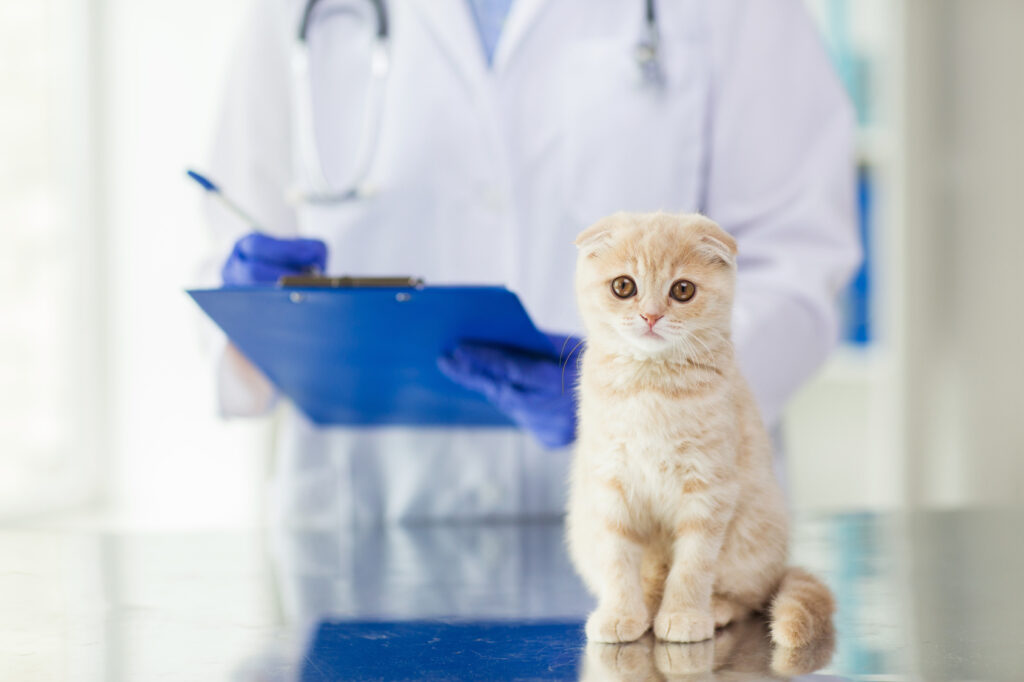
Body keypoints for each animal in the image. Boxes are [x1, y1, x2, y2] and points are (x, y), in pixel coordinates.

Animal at [565, 209, 835, 647]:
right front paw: (620, 613)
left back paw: (715, 609)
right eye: (624, 286)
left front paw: (684, 615)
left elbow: (692, 565)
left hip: (751, 543)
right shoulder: (610, 482)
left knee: (748, 597)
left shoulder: (708, 487)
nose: (651, 315)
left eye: (682, 290)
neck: (651, 384)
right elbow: (618, 558)